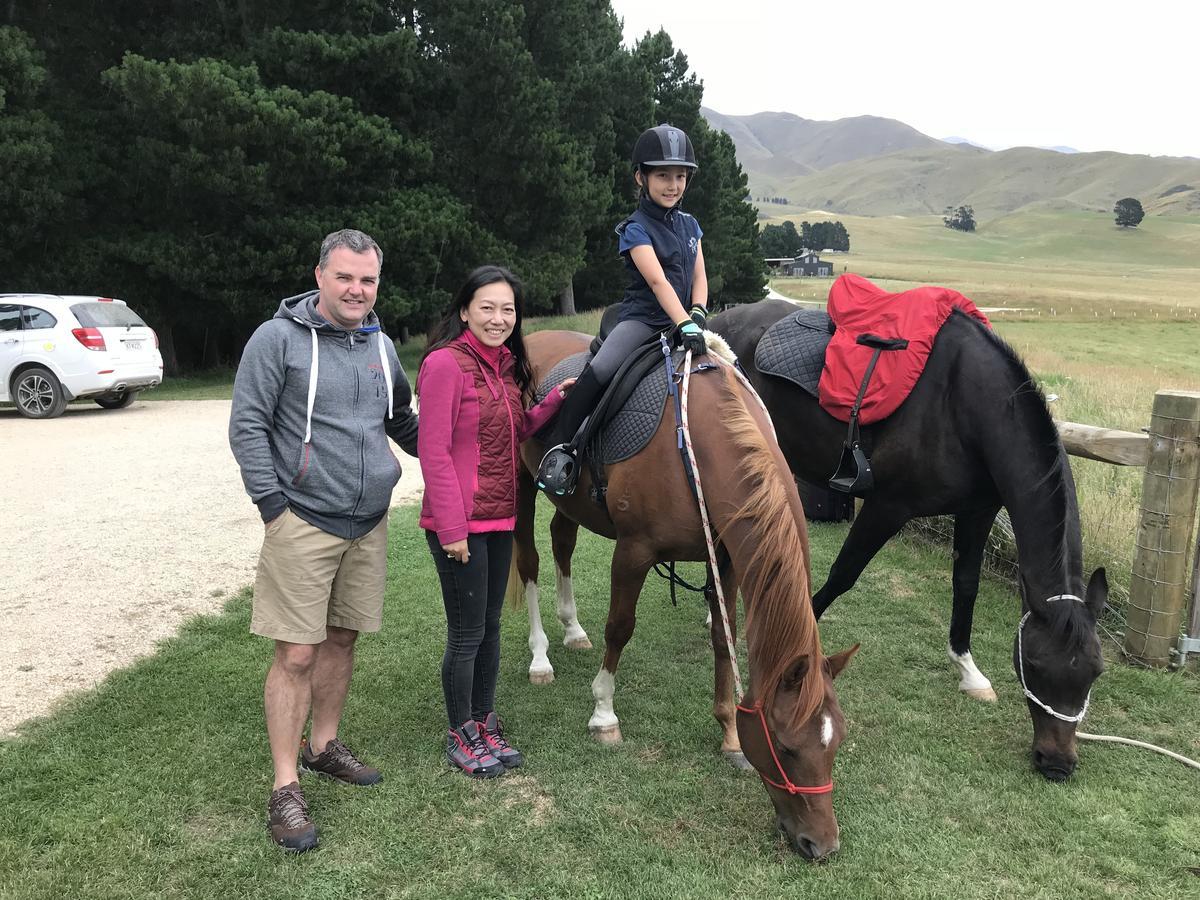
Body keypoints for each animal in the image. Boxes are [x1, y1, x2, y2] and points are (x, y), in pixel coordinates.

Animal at [511, 331, 859, 859]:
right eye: (785, 747)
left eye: (835, 742)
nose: (822, 845)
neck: (701, 446)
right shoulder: (633, 552)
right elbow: (620, 628)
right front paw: (604, 713)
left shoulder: (728, 560)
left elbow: (723, 639)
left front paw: (730, 735)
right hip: (519, 483)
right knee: (529, 559)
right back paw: (540, 657)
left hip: (568, 505)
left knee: (562, 540)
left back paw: (572, 630)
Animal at [705, 301, 1108, 782]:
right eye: (1036, 664)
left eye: (1095, 672)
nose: (1058, 763)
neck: (964, 402)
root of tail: (719, 323)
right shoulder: (887, 506)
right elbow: (843, 574)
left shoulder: (977, 511)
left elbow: (966, 585)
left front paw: (968, 671)